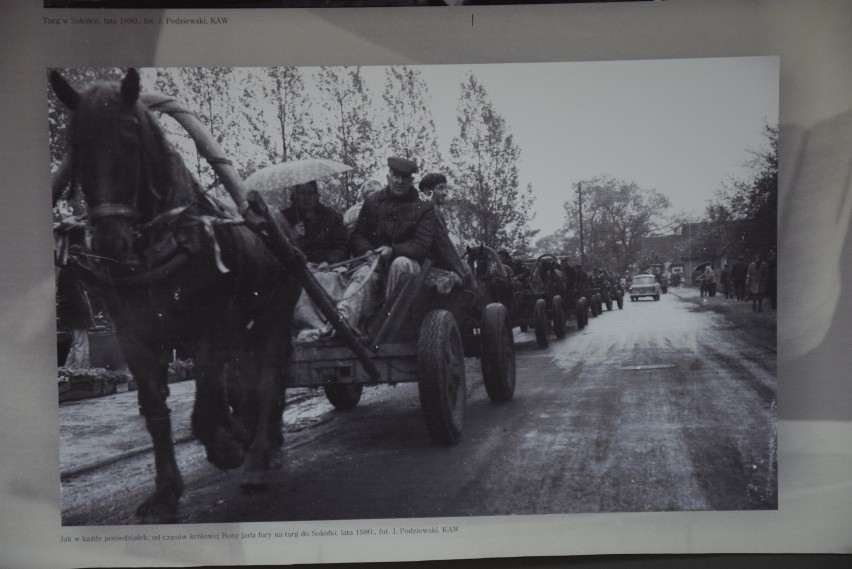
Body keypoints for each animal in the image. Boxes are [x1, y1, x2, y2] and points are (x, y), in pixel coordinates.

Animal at [50, 69, 302, 520]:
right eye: (76, 148)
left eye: (131, 140)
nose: (111, 244)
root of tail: (279, 226)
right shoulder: (135, 338)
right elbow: (156, 410)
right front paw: (166, 489)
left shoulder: (208, 328)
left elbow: (206, 408)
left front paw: (227, 447)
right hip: (245, 328)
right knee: (250, 383)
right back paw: (265, 440)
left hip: (273, 316)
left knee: (268, 380)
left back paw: (256, 457)